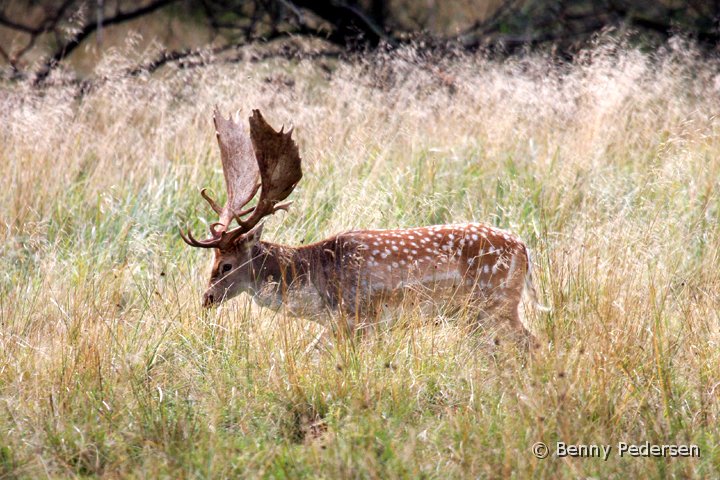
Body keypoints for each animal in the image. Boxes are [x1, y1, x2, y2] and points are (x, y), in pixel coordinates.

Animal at [180, 108, 544, 346]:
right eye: (213, 261)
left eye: (226, 265)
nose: (207, 298)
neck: (314, 280)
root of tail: (524, 249)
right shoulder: (341, 325)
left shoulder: (360, 317)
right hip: (476, 315)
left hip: (497, 303)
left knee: (533, 342)